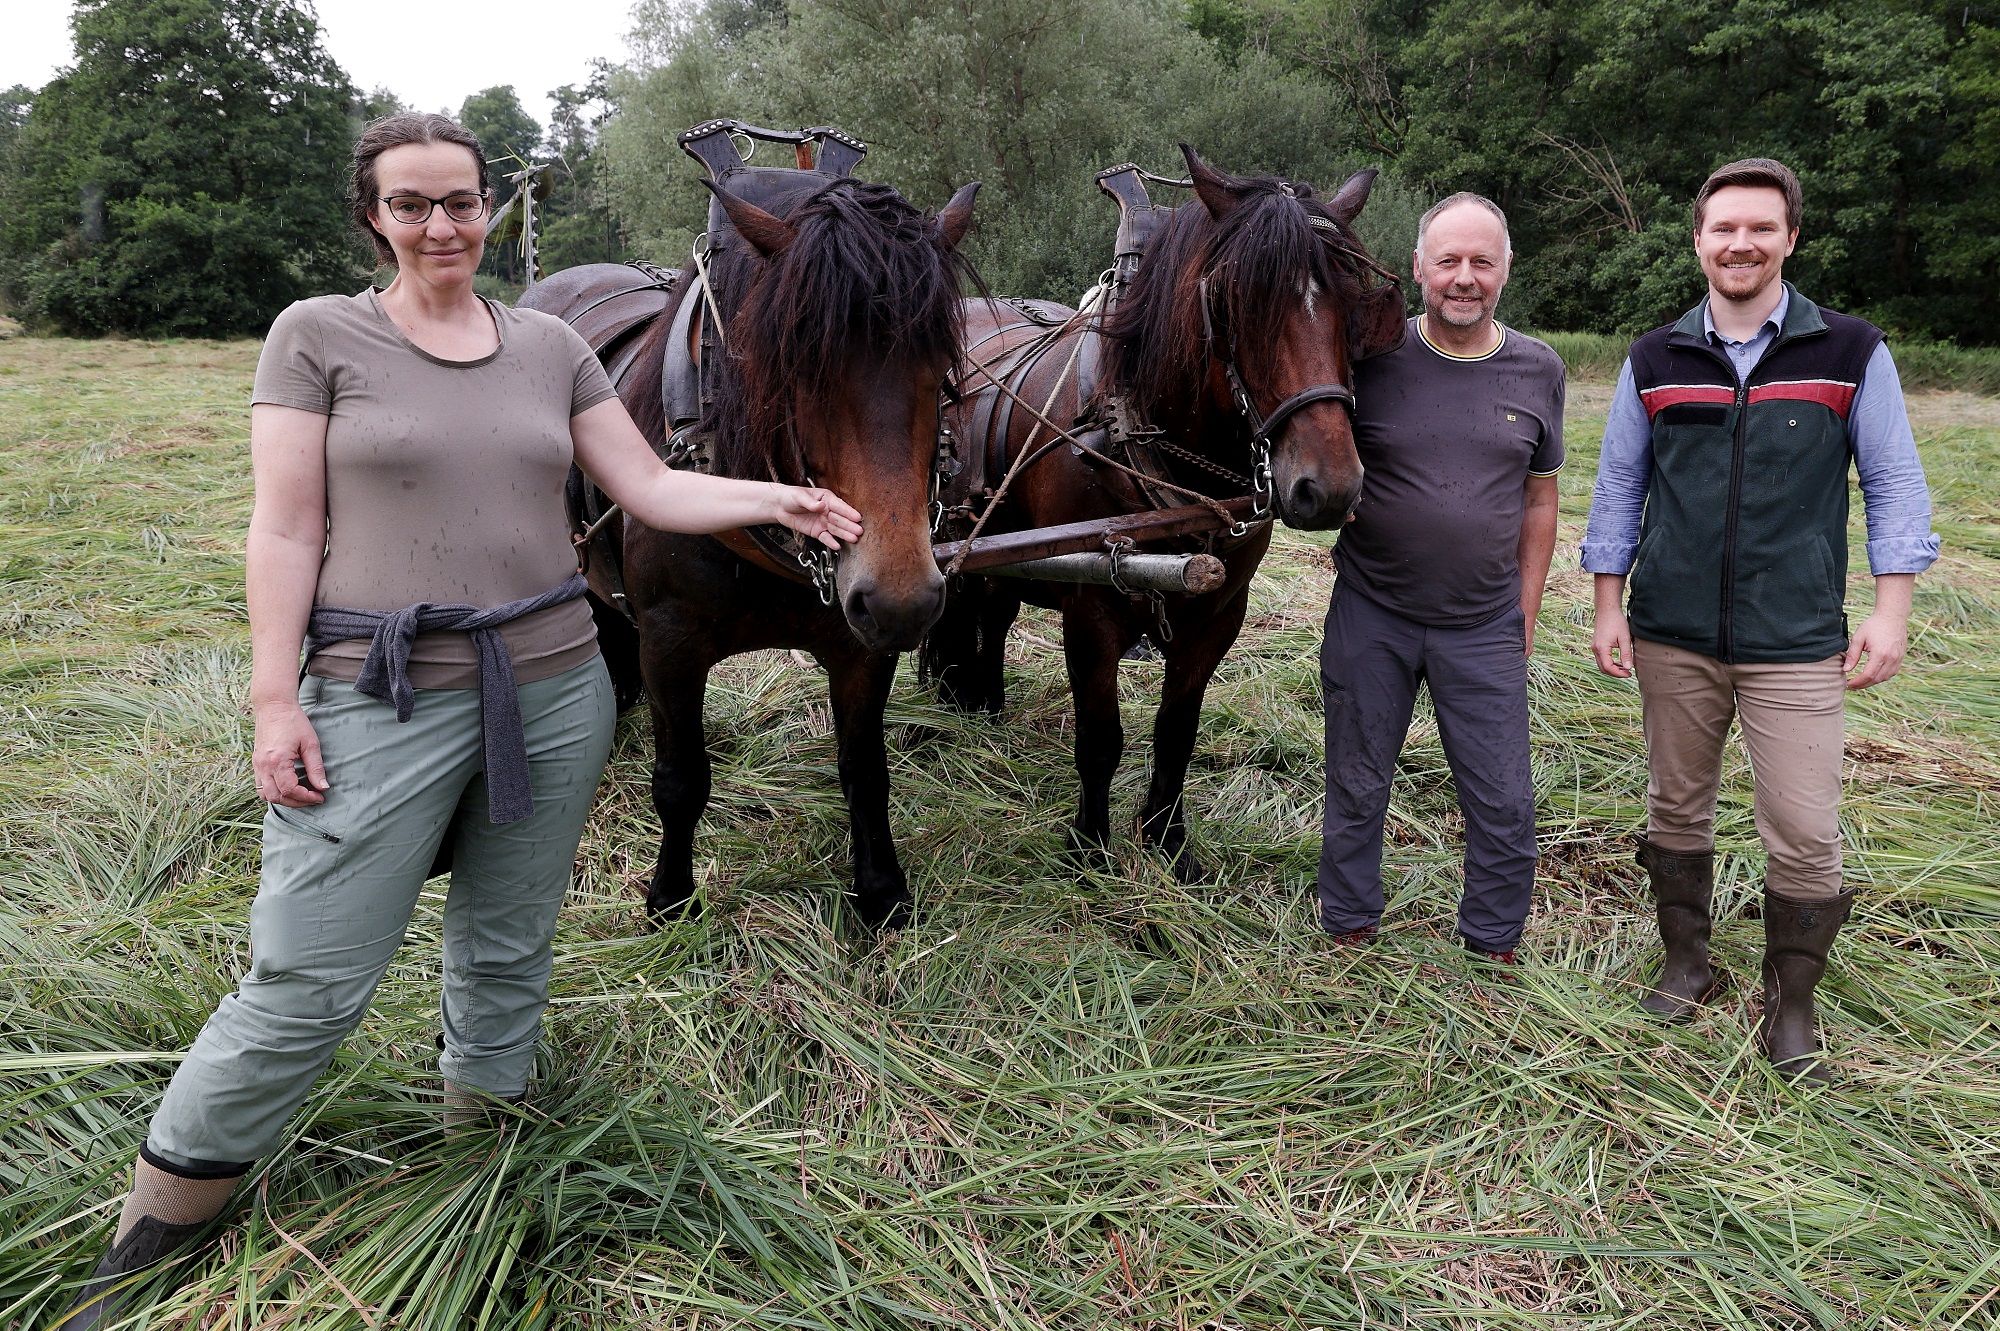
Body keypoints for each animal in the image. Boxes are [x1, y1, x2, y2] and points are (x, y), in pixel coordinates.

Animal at [524, 155, 976, 927]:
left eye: (940, 359)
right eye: (797, 361)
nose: (902, 601)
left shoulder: (860, 645)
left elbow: (865, 769)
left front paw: (881, 890)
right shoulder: (670, 641)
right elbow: (681, 780)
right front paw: (670, 901)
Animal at [916, 144, 1400, 879]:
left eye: (1355, 304)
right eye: (1236, 300)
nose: (1331, 487)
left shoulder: (1218, 612)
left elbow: (1177, 729)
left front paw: (1169, 841)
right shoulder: (1091, 608)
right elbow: (1101, 735)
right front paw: (1089, 847)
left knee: (992, 613)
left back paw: (985, 705)